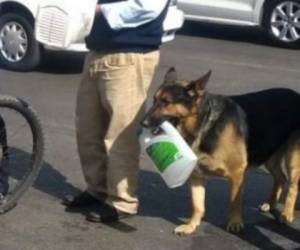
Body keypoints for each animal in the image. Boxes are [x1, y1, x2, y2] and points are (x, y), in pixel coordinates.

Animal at [142, 67, 300, 235]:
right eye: (154, 100)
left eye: (166, 102)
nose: (142, 123)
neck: (203, 122)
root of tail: (297, 95)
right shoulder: (197, 176)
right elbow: (197, 206)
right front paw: (191, 225)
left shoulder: (237, 173)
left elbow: (234, 202)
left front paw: (235, 223)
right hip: (268, 156)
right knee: (281, 178)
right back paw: (270, 203)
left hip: (292, 159)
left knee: (292, 185)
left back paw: (287, 214)